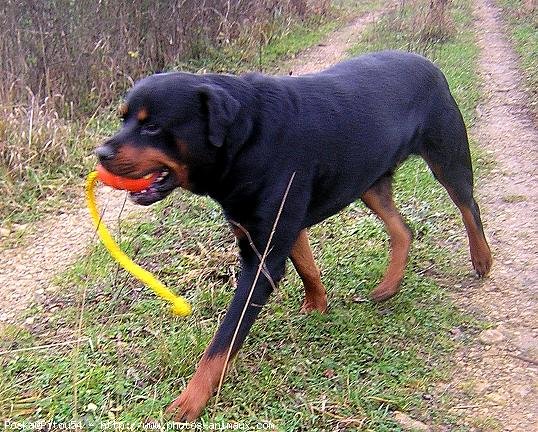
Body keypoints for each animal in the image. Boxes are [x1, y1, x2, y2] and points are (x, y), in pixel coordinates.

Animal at [95, 49, 490, 418]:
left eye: (151, 127)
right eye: (123, 118)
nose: (100, 152)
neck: (247, 141)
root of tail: (427, 62)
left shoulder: (262, 258)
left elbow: (223, 341)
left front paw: (192, 399)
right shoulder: (275, 230)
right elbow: (307, 268)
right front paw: (317, 306)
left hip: (447, 157)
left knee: (469, 207)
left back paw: (482, 258)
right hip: (370, 181)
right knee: (403, 230)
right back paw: (389, 285)